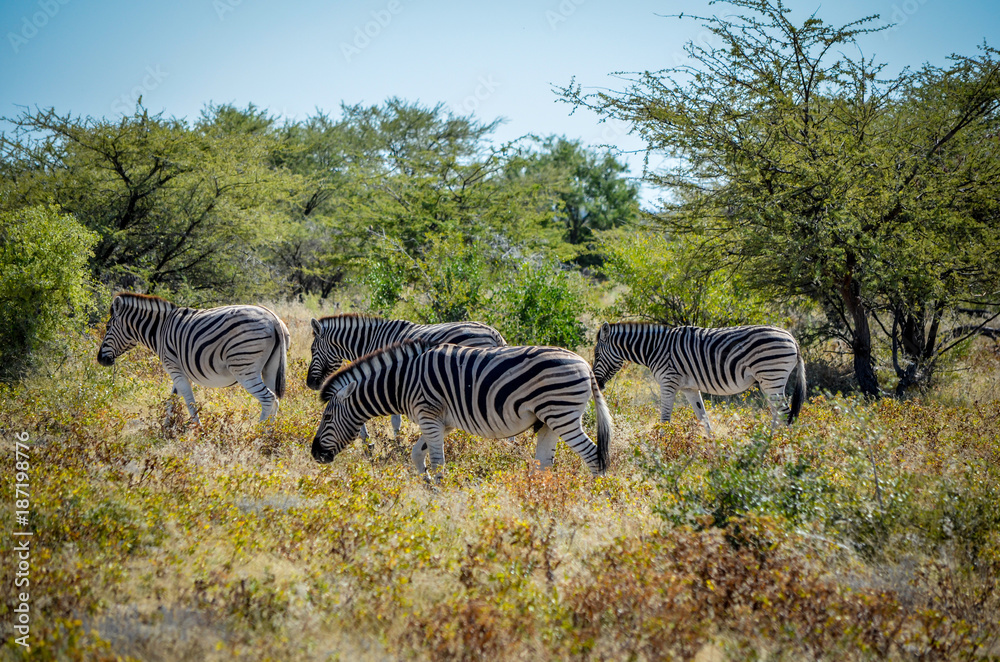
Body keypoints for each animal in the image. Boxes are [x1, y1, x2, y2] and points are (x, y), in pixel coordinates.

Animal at [97, 293, 290, 424]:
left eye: (107, 327)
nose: (100, 360)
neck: (160, 330)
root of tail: (273, 319)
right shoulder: (178, 369)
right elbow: (173, 399)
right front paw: (166, 428)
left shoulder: (173, 367)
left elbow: (188, 400)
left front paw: (197, 430)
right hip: (270, 369)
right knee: (275, 401)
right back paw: (269, 437)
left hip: (244, 367)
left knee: (268, 398)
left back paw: (258, 435)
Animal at [306, 314, 506, 441]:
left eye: (313, 350)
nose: (310, 383)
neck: (370, 340)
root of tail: (494, 333)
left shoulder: (389, 379)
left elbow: (393, 419)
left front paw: (390, 443)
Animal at [312, 341, 612, 477]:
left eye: (327, 417)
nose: (315, 454)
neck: (402, 381)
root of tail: (584, 365)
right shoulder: (439, 422)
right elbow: (417, 455)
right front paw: (426, 484)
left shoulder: (429, 416)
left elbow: (437, 460)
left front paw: (437, 495)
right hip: (549, 420)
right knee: (544, 466)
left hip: (562, 415)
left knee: (593, 456)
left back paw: (597, 497)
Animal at [593, 323, 806, 435]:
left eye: (596, 355)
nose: (597, 384)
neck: (654, 348)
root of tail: (791, 337)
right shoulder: (690, 388)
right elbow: (704, 419)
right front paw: (712, 449)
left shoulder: (668, 382)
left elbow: (665, 419)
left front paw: (661, 446)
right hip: (769, 382)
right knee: (778, 415)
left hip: (772, 376)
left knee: (786, 416)